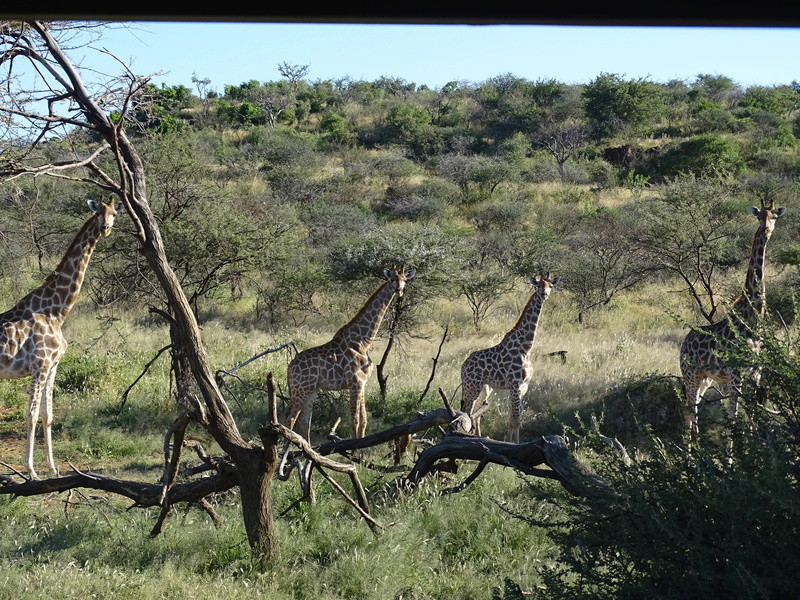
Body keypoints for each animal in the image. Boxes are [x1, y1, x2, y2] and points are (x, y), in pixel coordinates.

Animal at [0, 199, 119, 480]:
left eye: (114, 213)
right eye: (98, 212)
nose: (106, 228)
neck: (57, 310)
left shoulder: (53, 365)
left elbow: (48, 414)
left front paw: (53, 468)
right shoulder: (40, 365)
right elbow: (32, 414)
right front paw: (31, 471)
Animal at [284, 266, 416, 440]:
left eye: (405, 280)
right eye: (392, 279)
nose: (399, 290)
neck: (364, 341)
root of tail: (290, 367)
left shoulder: (363, 384)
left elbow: (364, 420)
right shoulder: (355, 382)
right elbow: (354, 420)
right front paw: (354, 446)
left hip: (310, 390)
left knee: (305, 422)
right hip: (300, 389)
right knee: (290, 419)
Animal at [460, 274, 560, 442]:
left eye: (550, 286)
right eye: (538, 285)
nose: (544, 295)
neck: (526, 347)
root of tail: (463, 366)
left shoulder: (523, 387)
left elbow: (512, 420)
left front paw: (510, 442)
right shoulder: (515, 386)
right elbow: (516, 420)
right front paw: (515, 444)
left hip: (483, 389)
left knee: (473, 414)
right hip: (471, 387)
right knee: (466, 412)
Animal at [680, 204, 788, 434]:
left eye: (774, 217)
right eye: (759, 216)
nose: (766, 231)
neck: (753, 319)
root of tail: (683, 345)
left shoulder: (755, 373)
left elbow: (752, 416)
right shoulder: (736, 373)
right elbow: (732, 418)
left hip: (705, 378)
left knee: (690, 410)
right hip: (690, 374)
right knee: (691, 409)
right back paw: (694, 445)